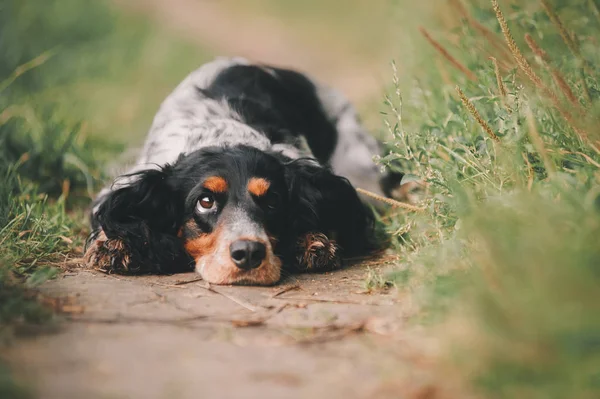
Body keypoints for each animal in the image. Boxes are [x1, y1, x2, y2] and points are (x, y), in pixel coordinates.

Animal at [83, 57, 404, 288]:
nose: (249, 253)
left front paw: (314, 240)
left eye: (272, 201)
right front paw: (114, 245)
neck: (220, 131)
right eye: (205, 201)